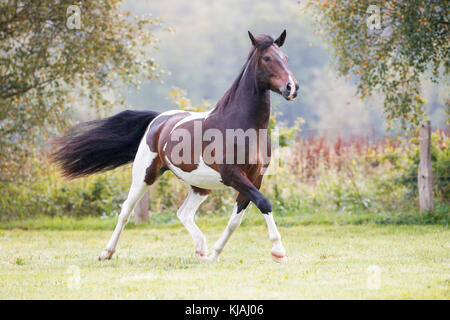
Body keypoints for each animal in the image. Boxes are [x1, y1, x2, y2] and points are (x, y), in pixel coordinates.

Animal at [51, 31, 298, 264]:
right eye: (267, 58)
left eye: (286, 57)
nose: (291, 88)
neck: (241, 126)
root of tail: (158, 119)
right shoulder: (233, 175)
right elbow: (264, 203)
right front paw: (279, 252)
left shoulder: (255, 178)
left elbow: (237, 219)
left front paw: (215, 254)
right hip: (144, 175)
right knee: (126, 211)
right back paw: (106, 253)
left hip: (200, 185)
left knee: (184, 213)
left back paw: (201, 250)